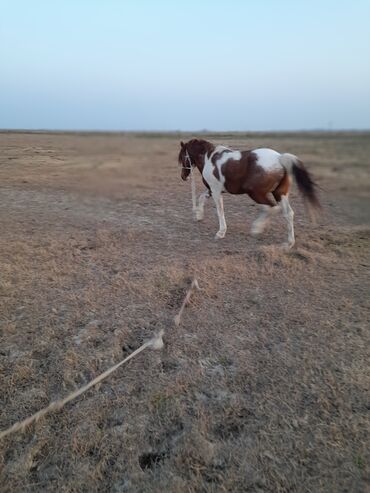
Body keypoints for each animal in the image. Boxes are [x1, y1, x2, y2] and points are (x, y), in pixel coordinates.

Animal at [178, 138, 320, 248]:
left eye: (182, 157)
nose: (183, 177)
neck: (209, 159)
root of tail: (280, 158)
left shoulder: (216, 191)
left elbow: (219, 211)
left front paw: (221, 232)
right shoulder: (211, 189)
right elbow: (201, 197)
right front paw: (198, 216)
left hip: (256, 193)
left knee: (272, 208)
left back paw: (256, 228)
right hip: (279, 193)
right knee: (288, 213)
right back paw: (289, 243)